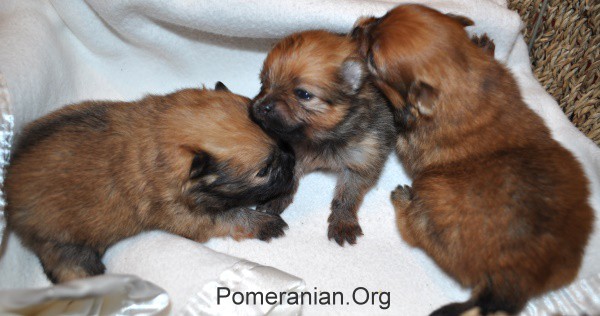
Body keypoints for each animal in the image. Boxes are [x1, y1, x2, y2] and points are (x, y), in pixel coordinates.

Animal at [4, 82, 296, 282]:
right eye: (264, 169)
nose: (292, 159)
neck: (156, 139)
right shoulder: (185, 216)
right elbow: (232, 216)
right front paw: (265, 223)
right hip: (64, 245)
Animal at [251, 29, 396, 246]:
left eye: (303, 94)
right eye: (263, 84)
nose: (261, 107)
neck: (322, 138)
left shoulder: (362, 160)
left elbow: (346, 196)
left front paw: (343, 222)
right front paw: (276, 199)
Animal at [354, 4, 592, 316]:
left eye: (372, 59)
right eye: (383, 15)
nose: (356, 28)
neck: (463, 76)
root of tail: (516, 280)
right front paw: (483, 44)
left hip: (432, 187)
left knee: (416, 234)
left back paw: (403, 199)